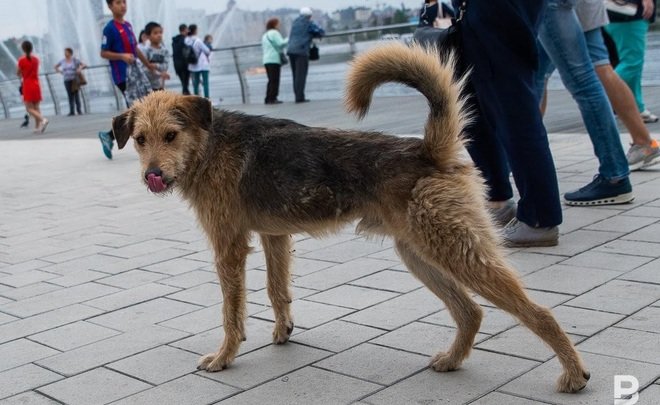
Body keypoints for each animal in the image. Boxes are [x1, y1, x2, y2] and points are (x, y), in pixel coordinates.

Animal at [111, 41, 592, 392]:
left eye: (171, 135)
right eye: (139, 139)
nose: (153, 176)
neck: (209, 144)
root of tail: (429, 150)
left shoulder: (228, 246)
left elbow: (233, 310)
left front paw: (225, 356)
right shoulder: (273, 237)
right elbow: (277, 290)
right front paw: (283, 331)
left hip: (457, 250)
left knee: (537, 312)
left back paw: (573, 373)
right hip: (420, 252)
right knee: (470, 311)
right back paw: (453, 359)